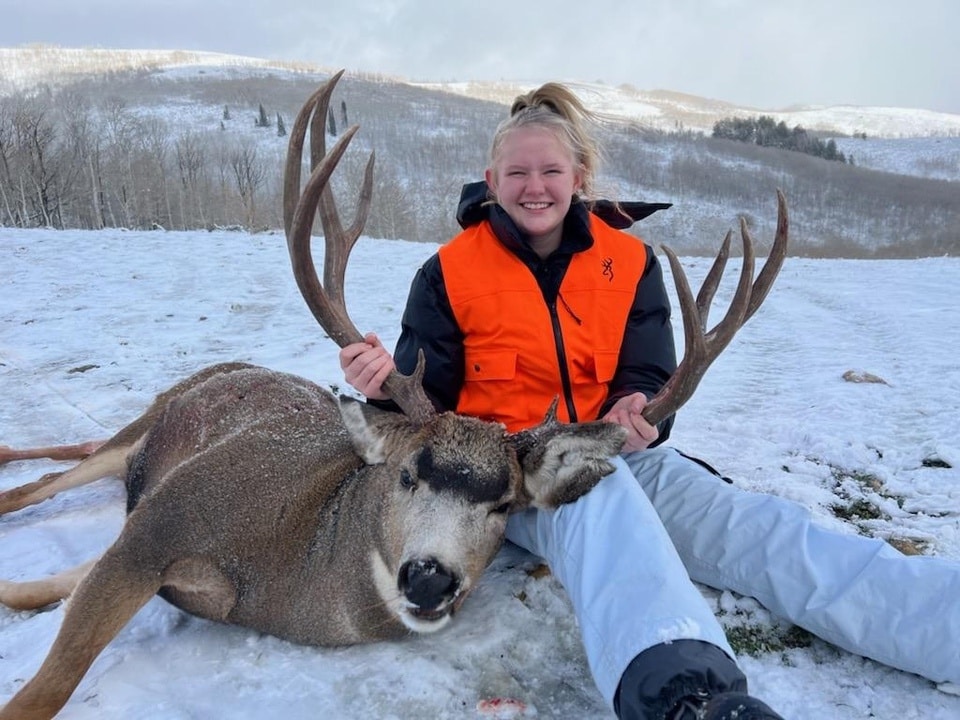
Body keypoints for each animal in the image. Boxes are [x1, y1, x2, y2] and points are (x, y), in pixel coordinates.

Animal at [0, 71, 789, 720]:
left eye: (503, 505)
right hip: (146, 428)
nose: (431, 580)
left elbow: (48, 600)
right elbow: (43, 692)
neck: (283, 577)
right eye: (408, 473)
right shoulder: (167, 518)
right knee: (45, 479)